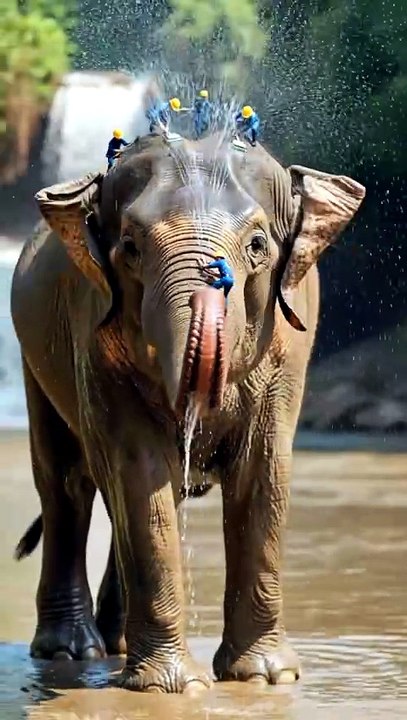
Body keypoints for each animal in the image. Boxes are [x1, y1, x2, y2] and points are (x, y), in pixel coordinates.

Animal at [11, 130, 365, 693]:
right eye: (130, 248)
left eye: (258, 246)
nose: (215, 278)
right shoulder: (94, 333)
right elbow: (139, 468)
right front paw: (172, 687)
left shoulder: (290, 345)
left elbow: (262, 468)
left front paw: (265, 678)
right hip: (34, 357)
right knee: (67, 485)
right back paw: (71, 652)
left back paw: (116, 645)